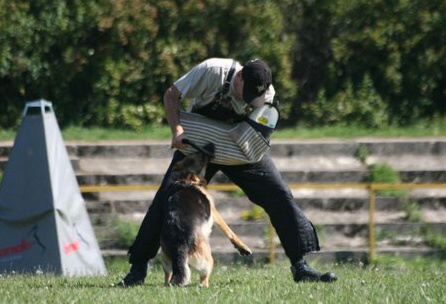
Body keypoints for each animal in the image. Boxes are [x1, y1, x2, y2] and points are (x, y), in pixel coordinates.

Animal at [160, 142, 253, 288]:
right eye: (201, 156)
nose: (211, 144)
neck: (184, 179)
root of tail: (179, 246)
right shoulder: (215, 213)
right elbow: (230, 232)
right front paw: (243, 247)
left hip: (165, 259)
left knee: (168, 277)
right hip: (208, 260)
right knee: (203, 280)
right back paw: (206, 285)